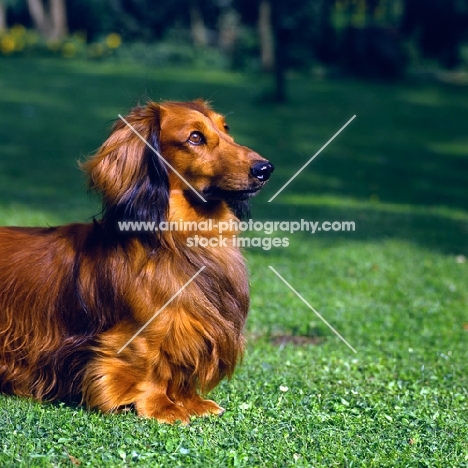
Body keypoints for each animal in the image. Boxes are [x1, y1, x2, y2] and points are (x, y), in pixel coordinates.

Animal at [0, 99, 274, 424]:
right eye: (195, 137)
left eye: (225, 128)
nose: (265, 168)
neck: (175, 241)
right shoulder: (144, 334)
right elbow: (149, 365)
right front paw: (162, 406)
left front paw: (190, 401)